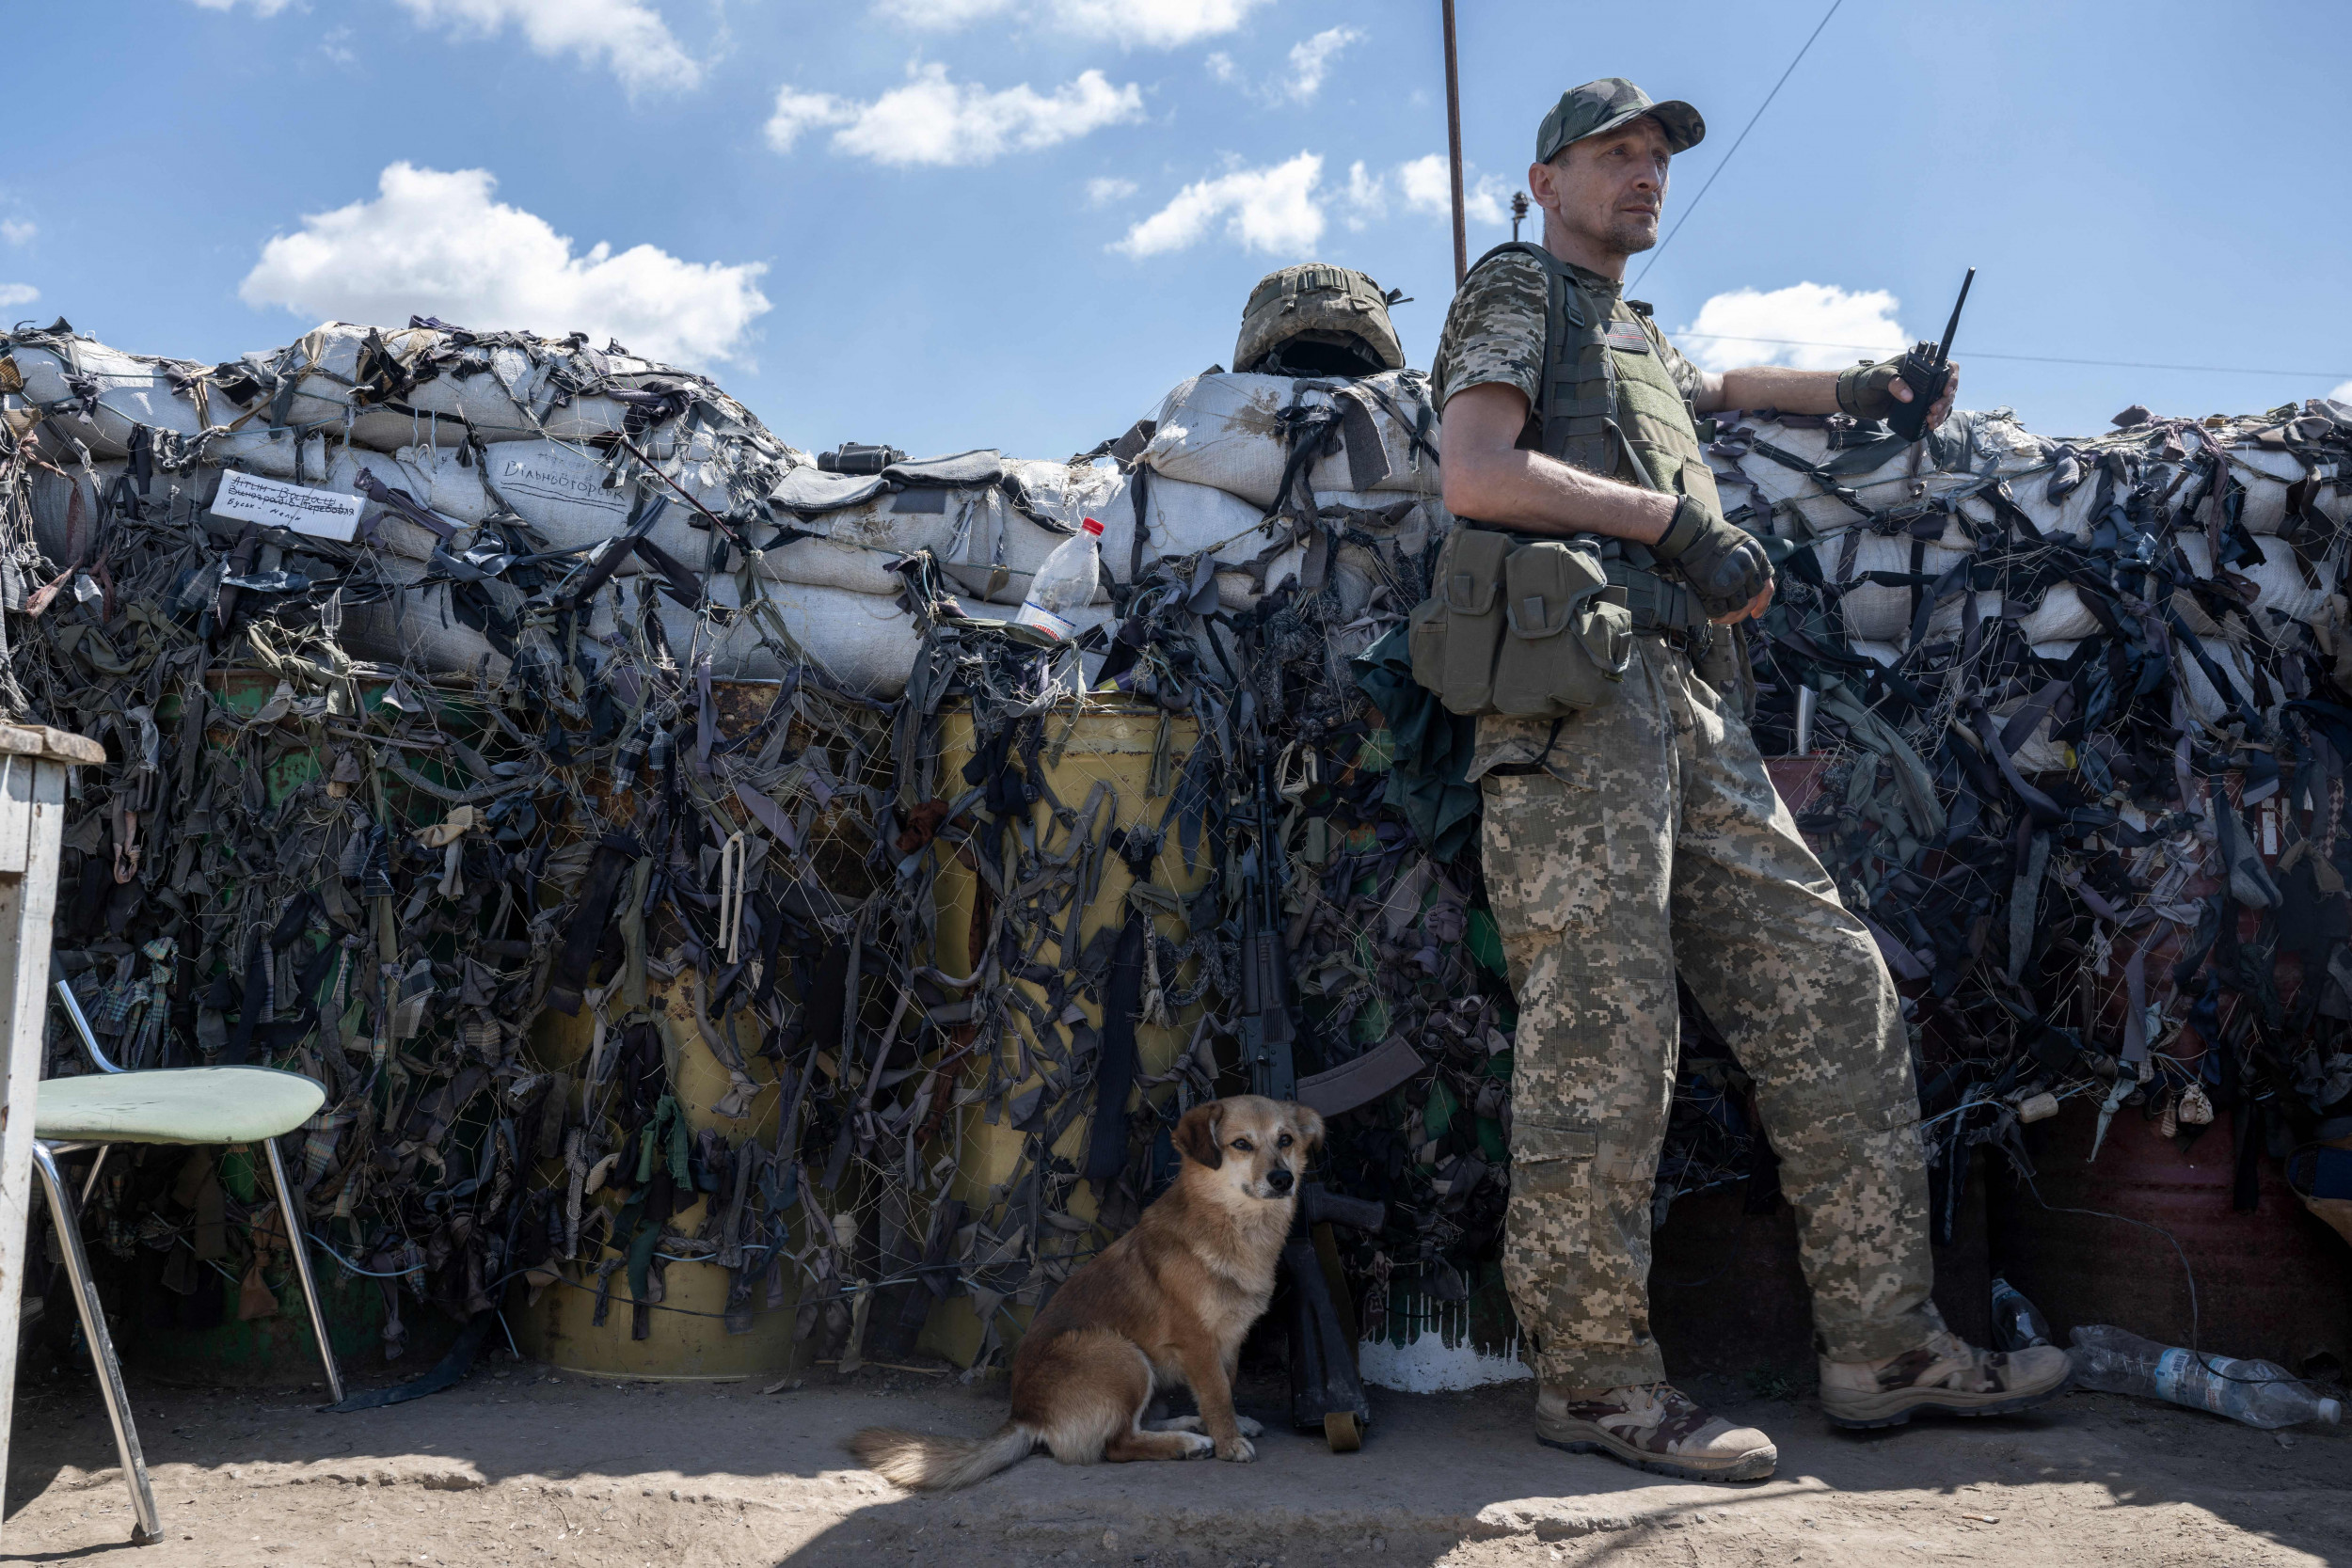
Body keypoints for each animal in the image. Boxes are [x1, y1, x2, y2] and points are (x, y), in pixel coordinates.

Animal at [847, 1100, 1327, 1495]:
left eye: (1285, 1140)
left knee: (1135, 1424)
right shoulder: (1198, 1342)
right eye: (1241, 1144)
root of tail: (1027, 1414)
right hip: (1121, 1354)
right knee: (1116, 1444)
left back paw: (1188, 1426)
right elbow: (1216, 1393)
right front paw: (1229, 1442)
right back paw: (1186, 1442)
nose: (1283, 1179)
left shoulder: (1230, 1340)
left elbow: (1226, 1386)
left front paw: (1233, 1424)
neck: (1234, 1226)